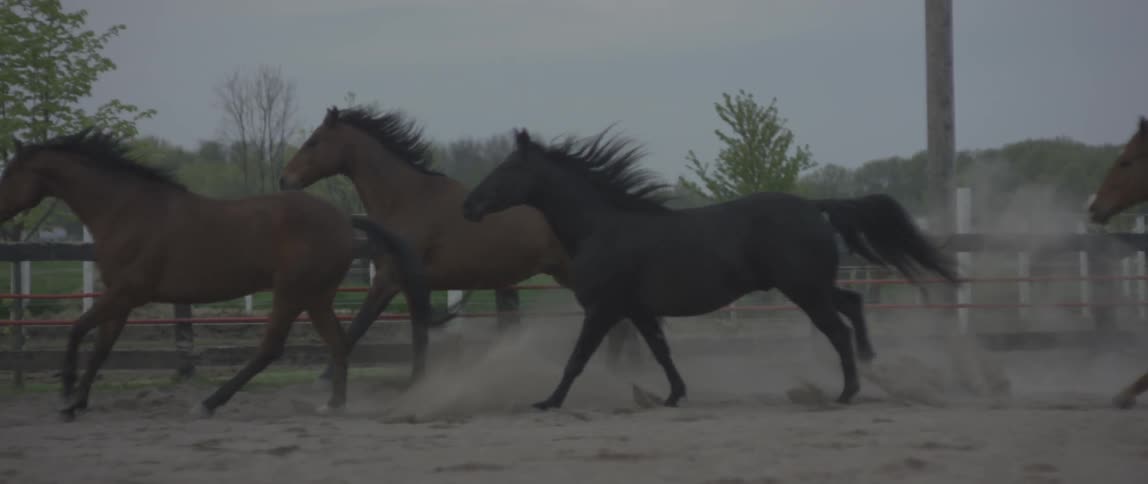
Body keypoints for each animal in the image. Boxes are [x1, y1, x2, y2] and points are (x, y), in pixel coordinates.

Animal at [0, 128, 433, 421]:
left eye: (9, 173)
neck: (127, 210)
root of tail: (345, 219)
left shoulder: (126, 292)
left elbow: (76, 331)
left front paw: (66, 397)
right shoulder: (121, 299)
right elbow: (101, 347)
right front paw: (79, 401)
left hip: (291, 292)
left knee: (270, 349)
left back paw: (208, 404)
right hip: (316, 296)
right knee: (339, 343)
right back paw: (333, 405)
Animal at [279, 105, 646, 384]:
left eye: (313, 142)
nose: (285, 180)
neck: (406, 200)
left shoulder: (389, 279)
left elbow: (358, 326)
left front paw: (325, 378)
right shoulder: (412, 285)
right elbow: (418, 337)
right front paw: (417, 380)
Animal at [461, 128, 959, 410]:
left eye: (506, 169)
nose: (469, 206)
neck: (602, 226)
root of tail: (814, 206)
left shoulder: (603, 309)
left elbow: (577, 359)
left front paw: (548, 402)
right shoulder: (636, 310)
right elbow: (662, 352)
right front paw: (672, 396)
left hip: (804, 290)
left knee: (837, 329)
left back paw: (846, 392)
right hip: (810, 285)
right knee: (853, 304)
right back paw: (872, 364)